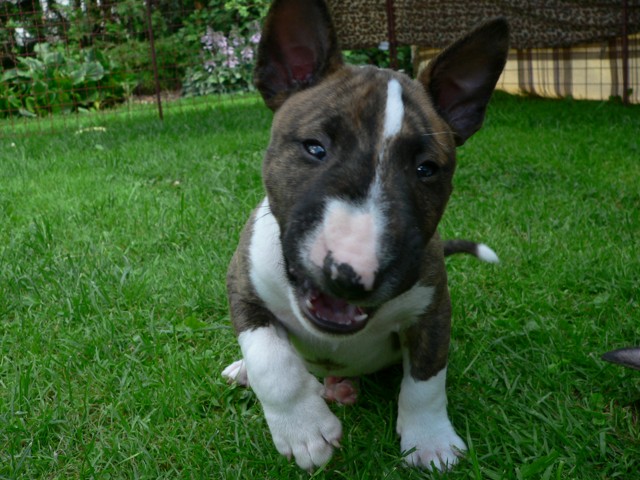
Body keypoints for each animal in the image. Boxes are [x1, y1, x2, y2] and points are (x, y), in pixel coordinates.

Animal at [222, 0, 509, 471]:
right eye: (314, 147)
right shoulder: (244, 286)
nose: (350, 273)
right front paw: (305, 432)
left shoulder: (432, 309)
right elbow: (272, 364)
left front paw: (430, 441)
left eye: (426, 169)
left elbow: (426, 381)